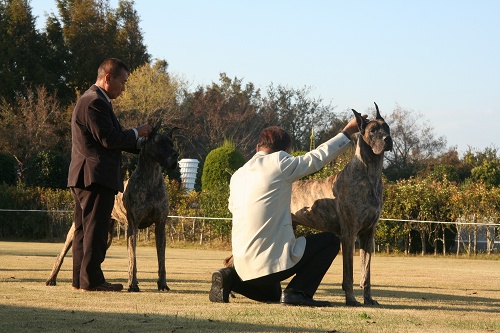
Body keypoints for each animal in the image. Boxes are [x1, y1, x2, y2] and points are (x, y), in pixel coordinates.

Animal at [292, 104, 392, 306]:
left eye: (387, 128)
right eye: (373, 130)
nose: (388, 139)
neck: (370, 174)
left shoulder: (367, 234)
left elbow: (366, 273)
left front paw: (368, 299)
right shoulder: (349, 234)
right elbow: (349, 274)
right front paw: (351, 299)